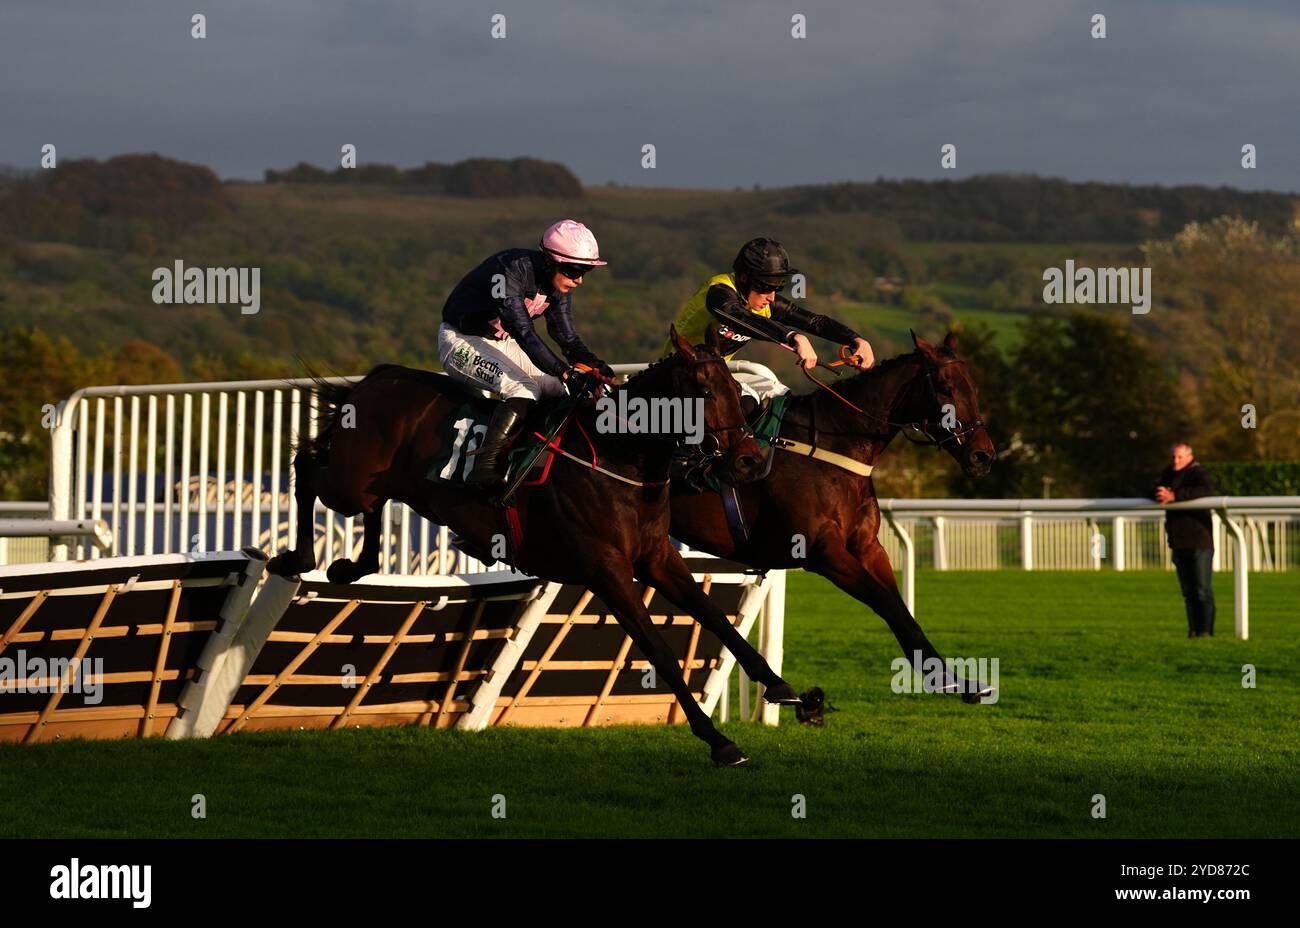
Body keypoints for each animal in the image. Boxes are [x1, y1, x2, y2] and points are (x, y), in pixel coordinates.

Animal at [267, 328, 800, 764]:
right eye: (706, 391)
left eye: (738, 392)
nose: (750, 462)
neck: (620, 455)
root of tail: (379, 377)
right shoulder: (605, 569)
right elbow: (659, 651)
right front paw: (719, 741)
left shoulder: (657, 557)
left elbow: (716, 619)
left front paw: (787, 690)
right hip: (350, 482)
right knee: (307, 467)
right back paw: (296, 556)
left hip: (375, 485)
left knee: (364, 504)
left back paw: (351, 566)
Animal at [670, 330, 993, 701]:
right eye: (944, 387)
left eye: (974, 388)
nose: (983, 455)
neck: (833, 445)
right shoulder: (821, 552)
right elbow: (886, 603)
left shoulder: (867, 547)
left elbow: (904, 613)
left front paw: (957, 681)